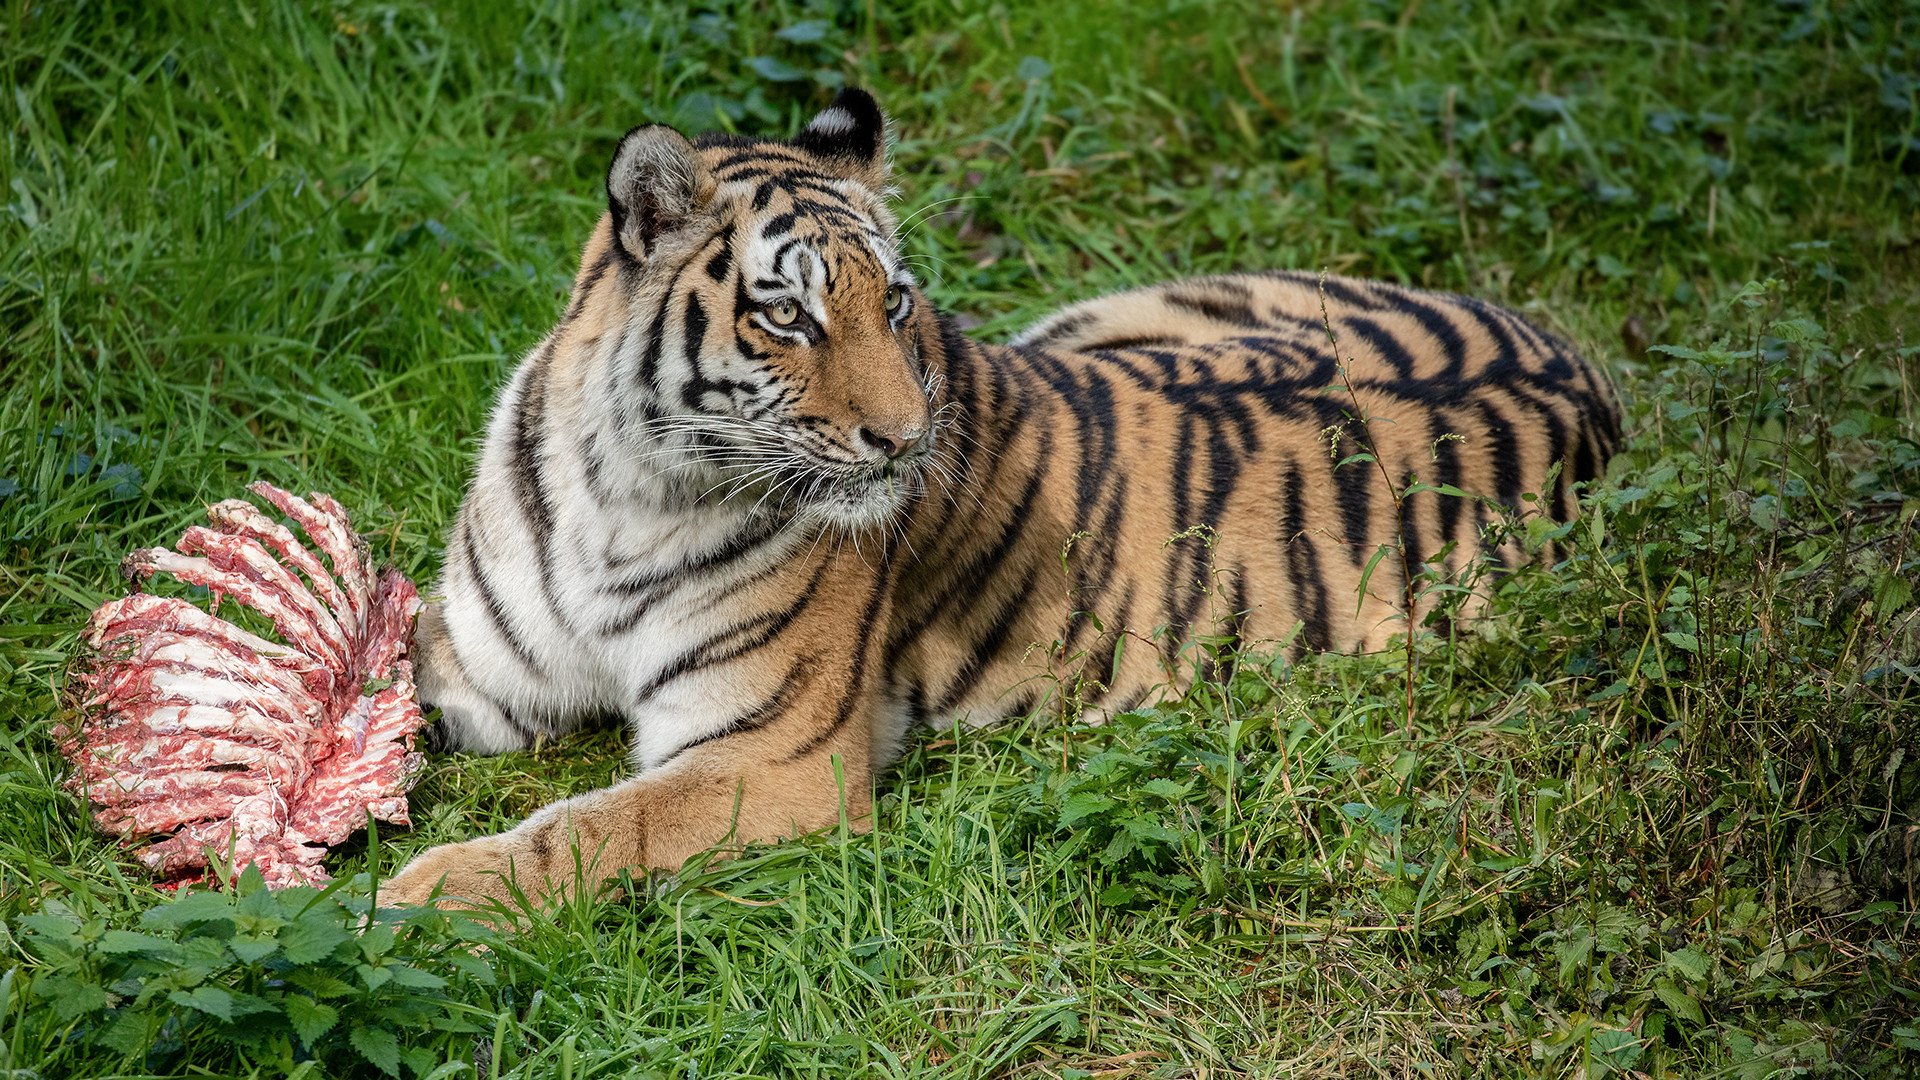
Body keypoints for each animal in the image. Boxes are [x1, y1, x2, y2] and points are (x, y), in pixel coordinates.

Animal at [385, 88, 1620, 903]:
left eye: (894, 303)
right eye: (787, 315)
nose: (907, 438)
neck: (630, 489)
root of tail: (1592, 382)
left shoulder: (772, 754)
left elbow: (592, 828)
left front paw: (414, 897)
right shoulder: (484, 672)